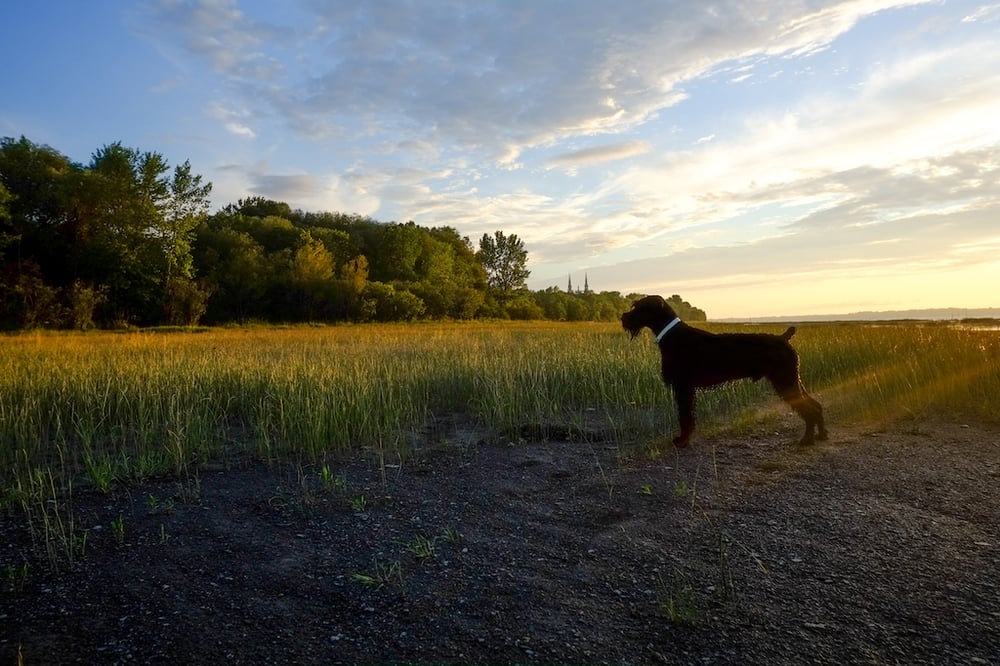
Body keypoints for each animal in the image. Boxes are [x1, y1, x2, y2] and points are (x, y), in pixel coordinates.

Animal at [620, 296, 824, 446]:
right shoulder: (685, 388)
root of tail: (784, 338)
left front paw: (682, 441)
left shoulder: (683, 388)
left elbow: (685, 416)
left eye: (639, 307)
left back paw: (807, 440)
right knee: (815, 405)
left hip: (786, 381)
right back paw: (821, 435)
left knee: (809, 409)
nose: (623, 318)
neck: (673, 335)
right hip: (792, 380)